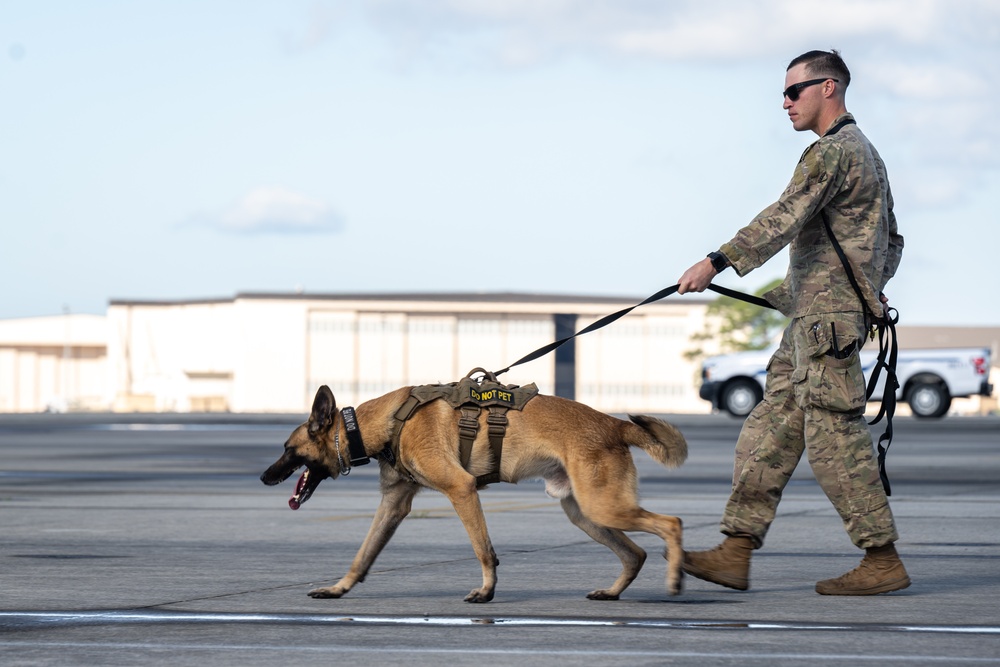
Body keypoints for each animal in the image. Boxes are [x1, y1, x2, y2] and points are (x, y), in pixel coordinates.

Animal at [260, 384, 688, 604]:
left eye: (286, 448)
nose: (264, 476)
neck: (388, 421)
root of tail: (615, 425)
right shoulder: (394, 505)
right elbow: (362, 555)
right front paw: (339, 588)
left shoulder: (461, 490)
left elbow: (484, 550)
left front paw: (487, 590)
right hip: (585, 513)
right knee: (636, 553)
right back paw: (614, 592)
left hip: (603, 507)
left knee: (672, 523)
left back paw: (675, 579)